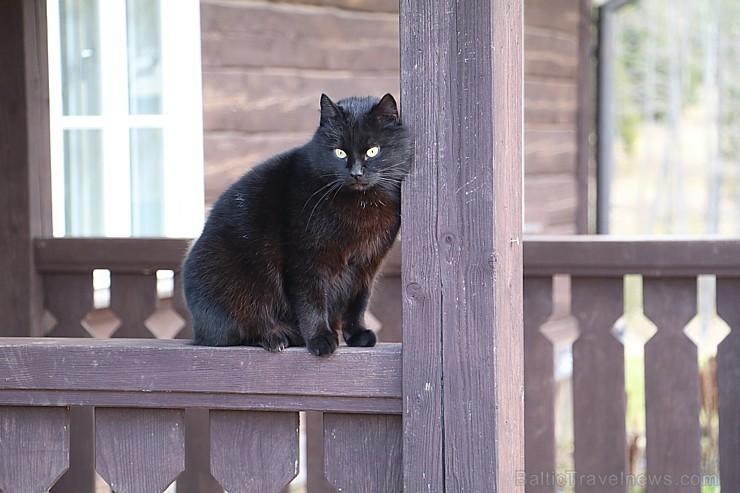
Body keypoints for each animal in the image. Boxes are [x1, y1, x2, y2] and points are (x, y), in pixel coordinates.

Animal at [179, 93, 410, 354]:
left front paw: (357, 335)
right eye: (339, 152)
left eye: (373, 150)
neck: (362, 206)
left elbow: (358, 303)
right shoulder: (306, 259)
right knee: (236, 331)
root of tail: (197, 331)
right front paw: (320, 339)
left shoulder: (366, 265)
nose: (356, 173)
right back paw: (275, 337)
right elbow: (311, 300)